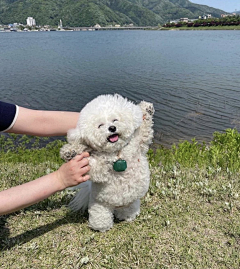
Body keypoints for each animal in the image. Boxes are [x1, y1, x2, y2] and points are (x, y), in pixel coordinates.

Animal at [60, 93, 154, 230]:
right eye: (100, 125)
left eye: (115, 120)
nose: (112, 128)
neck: (117, 153)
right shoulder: (100, 167)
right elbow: (92, 166)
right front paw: (70, 152)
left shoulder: (139, 142)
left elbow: (145, 129)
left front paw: (146, 109)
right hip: (100, 206)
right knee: (101, 216)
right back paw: (102, 227)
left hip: (132, 202)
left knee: (128, 209)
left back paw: (127, 216)